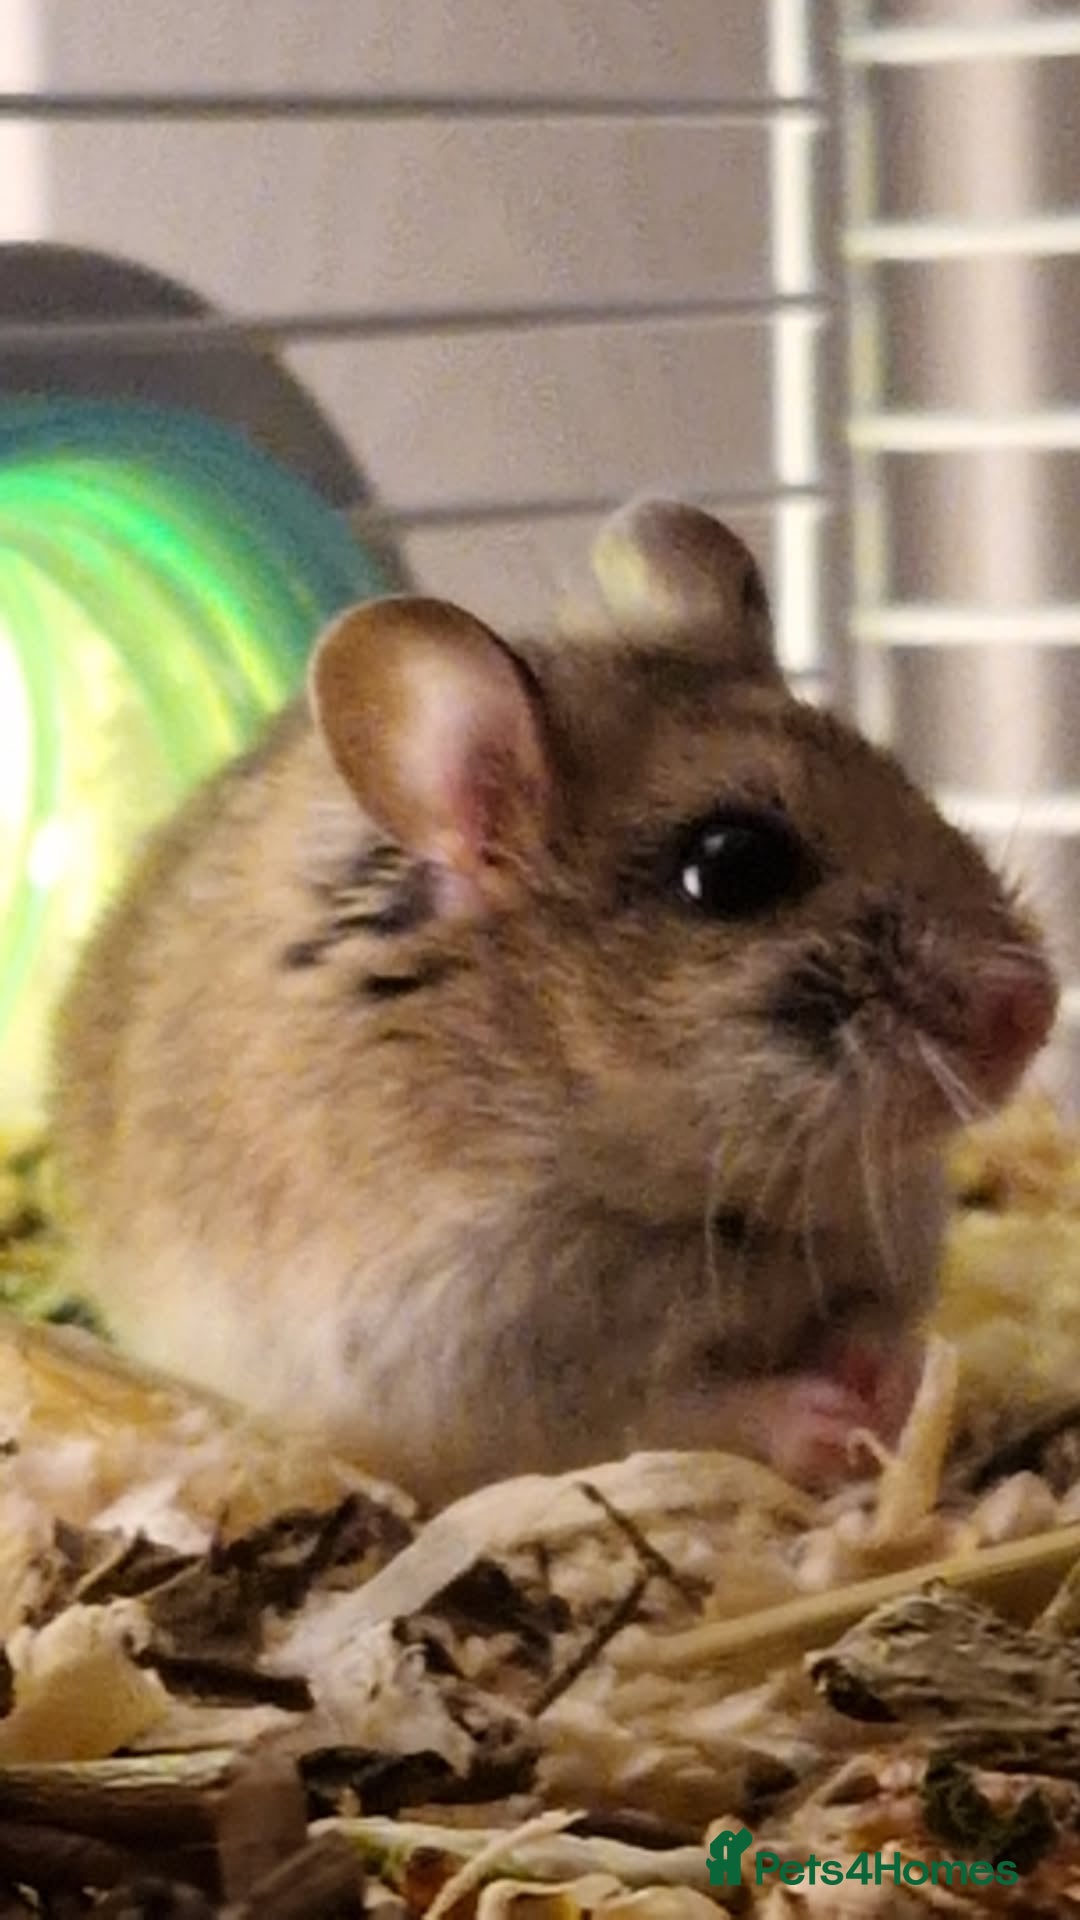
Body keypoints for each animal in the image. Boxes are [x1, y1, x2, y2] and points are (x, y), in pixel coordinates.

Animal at [51, 501, 1057, 1508]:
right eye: (732, 865)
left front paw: (897, 1386)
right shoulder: (490, 1368)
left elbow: (877, 1324)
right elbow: (690, 1409)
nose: (1037, 1010)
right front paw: (829, 1423)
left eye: (903, 775)